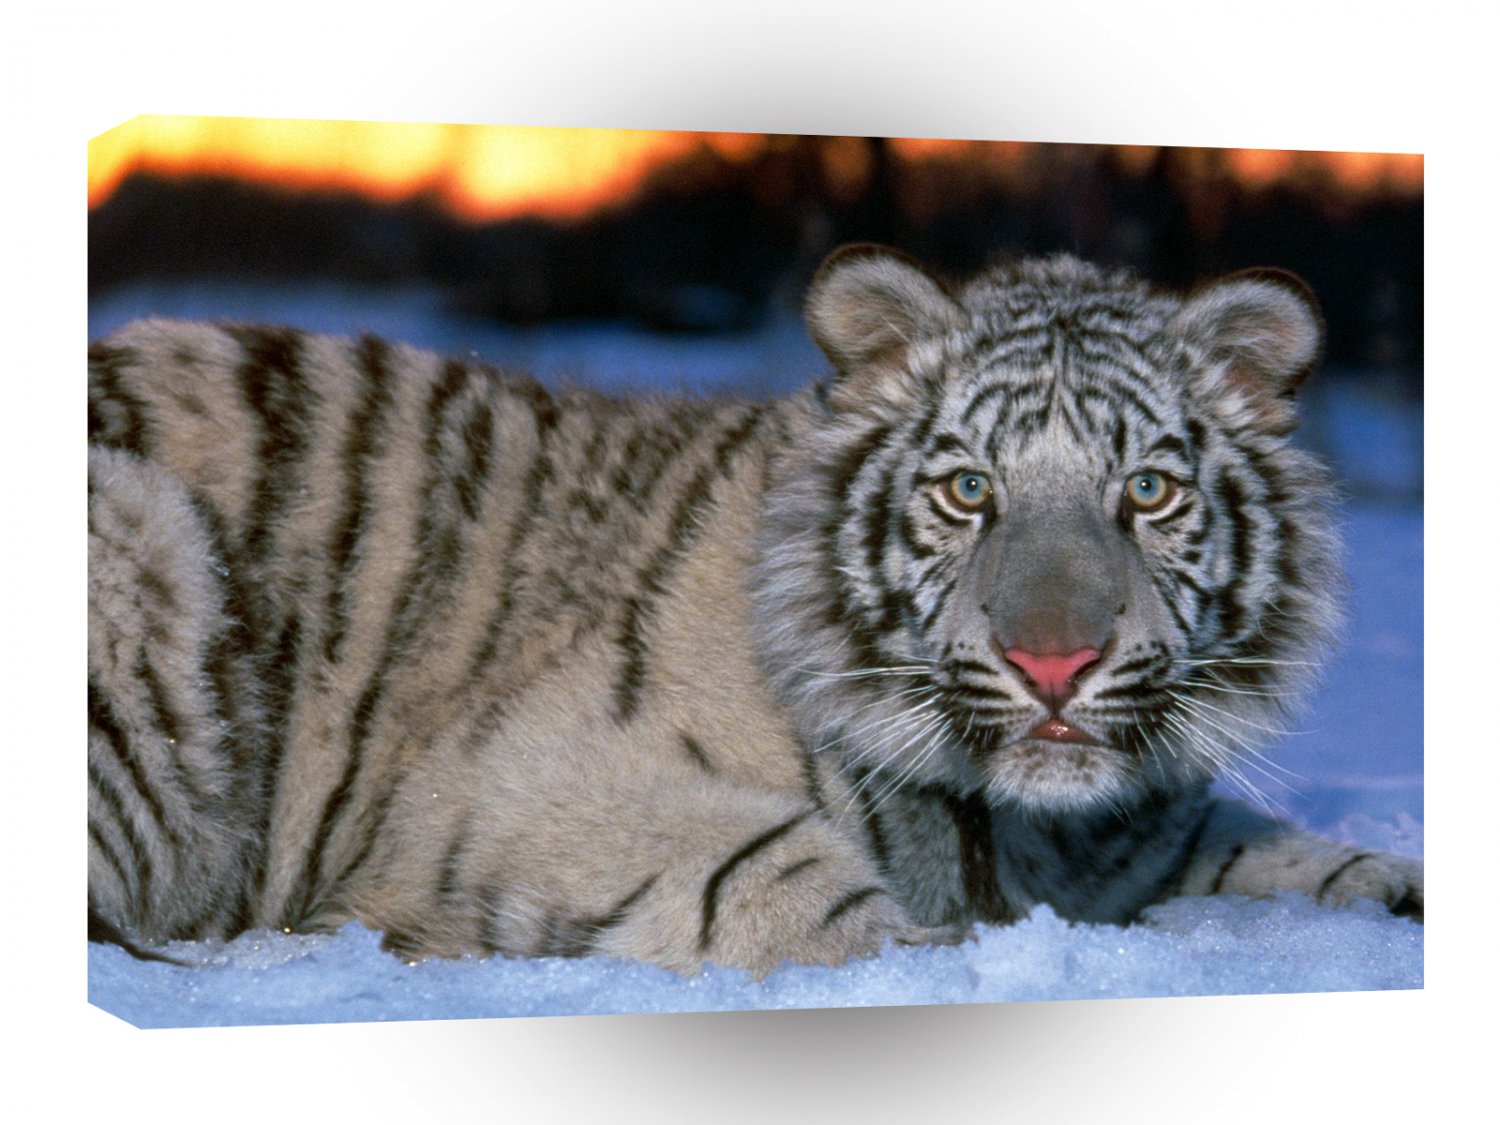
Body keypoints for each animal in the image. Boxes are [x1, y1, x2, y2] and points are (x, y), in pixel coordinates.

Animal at [87, 244, 1423, 977]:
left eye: (1146, 491)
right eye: (967, 490)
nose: (1053, 665)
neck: (1024, 827)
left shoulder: (1147, 834)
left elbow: (1297, 856)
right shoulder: (522, 783)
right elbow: (786, 876)